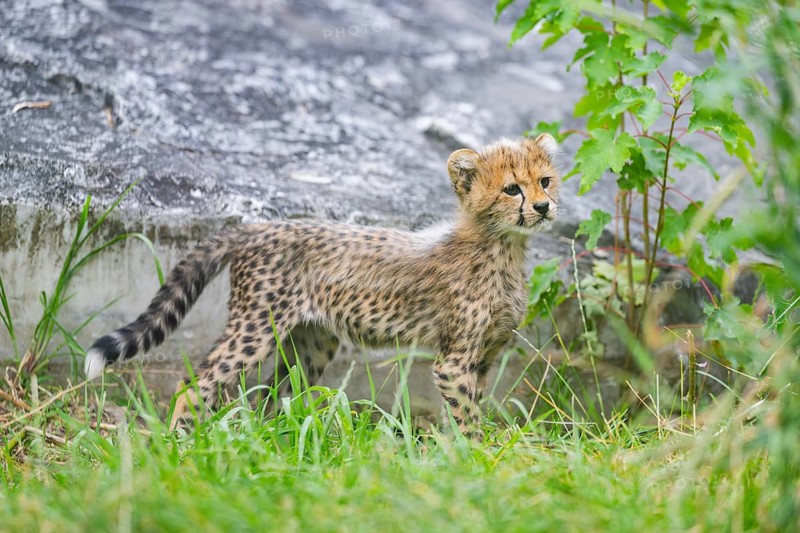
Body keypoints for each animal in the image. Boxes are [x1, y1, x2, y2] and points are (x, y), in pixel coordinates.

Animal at [84, 134, 561, 438]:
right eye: (511, 189)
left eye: (545, 180)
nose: (543, 207)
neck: (503, 246)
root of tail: (256, 226)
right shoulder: (455, 360)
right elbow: (466, 415)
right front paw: (476, 457)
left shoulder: (484, 356)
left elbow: (468, 409)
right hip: (255, 328)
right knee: (196, 383)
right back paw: (180, 442)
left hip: (312, 341)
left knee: (273, 396)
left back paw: (276, 446)